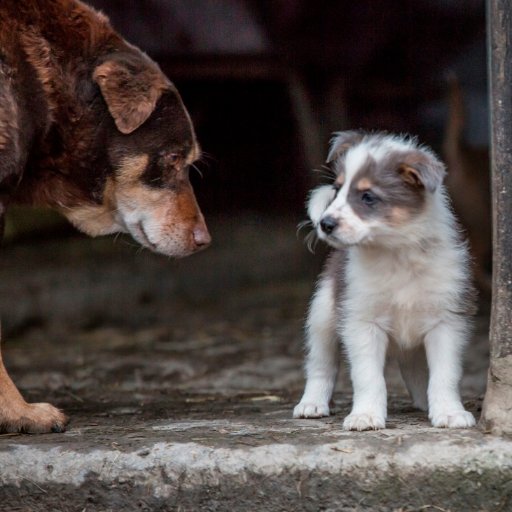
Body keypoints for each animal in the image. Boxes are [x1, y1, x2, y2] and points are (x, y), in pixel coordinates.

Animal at [294, 130, 478, 430]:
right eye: (337, 190)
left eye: (368, 196)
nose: (325, 224)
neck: (396, 253)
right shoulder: (362, 323)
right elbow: (368, 377)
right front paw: (366, 415)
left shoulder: (446, 322)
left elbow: (444, 375)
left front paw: (449, 412)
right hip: (322, 316)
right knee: (321, 365)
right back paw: (312, 404)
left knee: (415, 369)